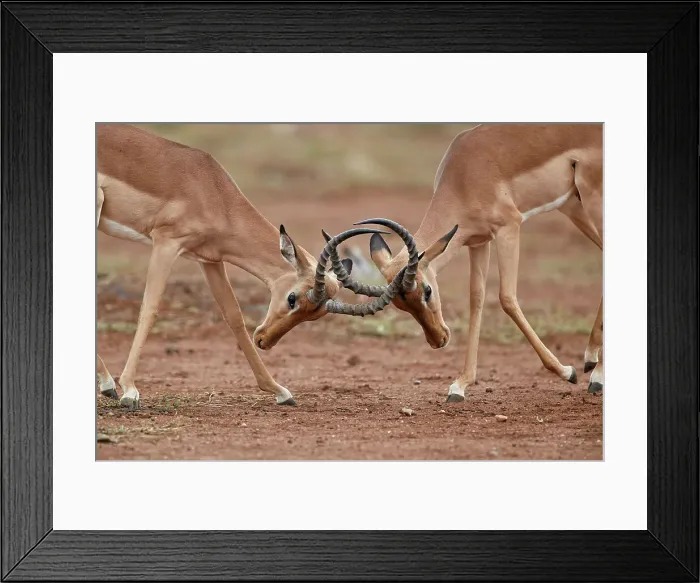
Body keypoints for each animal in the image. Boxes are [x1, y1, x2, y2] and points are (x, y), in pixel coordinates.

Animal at [96, 124, 421, 409]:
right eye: (292, 298)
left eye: (314, 315)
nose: (265, 340)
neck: (210, 189)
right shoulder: (166, 243)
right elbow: (149, 309)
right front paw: (130, 391)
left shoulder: (209, 259)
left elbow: (234, 317)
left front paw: (280, 391)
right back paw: (112, 386)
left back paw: (107, 385)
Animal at [325, 124, 603, 400]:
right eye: (400, 304)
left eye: (427, 290)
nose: (438, 340)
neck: (465, 174)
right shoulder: (478, 242)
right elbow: (476, 300)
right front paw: (460, 386)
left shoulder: (508, 227)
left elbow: (506, 298)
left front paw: (567, 372)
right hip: (573, 206)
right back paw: (591, 361)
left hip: (591, 201)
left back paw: (595, 375)